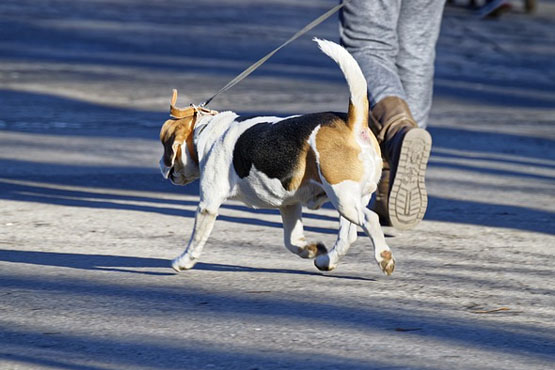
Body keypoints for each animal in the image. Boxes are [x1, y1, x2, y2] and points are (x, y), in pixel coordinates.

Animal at [160, 39, 396, 274]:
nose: (162, 166)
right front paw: (311, 249)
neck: (205, 130)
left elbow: (196, 239)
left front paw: (183, 261)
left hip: (343, 197)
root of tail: (352, 123)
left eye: (165, 146)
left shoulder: (208, 204)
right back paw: (325, 260)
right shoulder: (289, 206)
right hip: (350, 200)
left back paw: (384, 258)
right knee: (348, 235)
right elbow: (292, 241)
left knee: (370, 218)